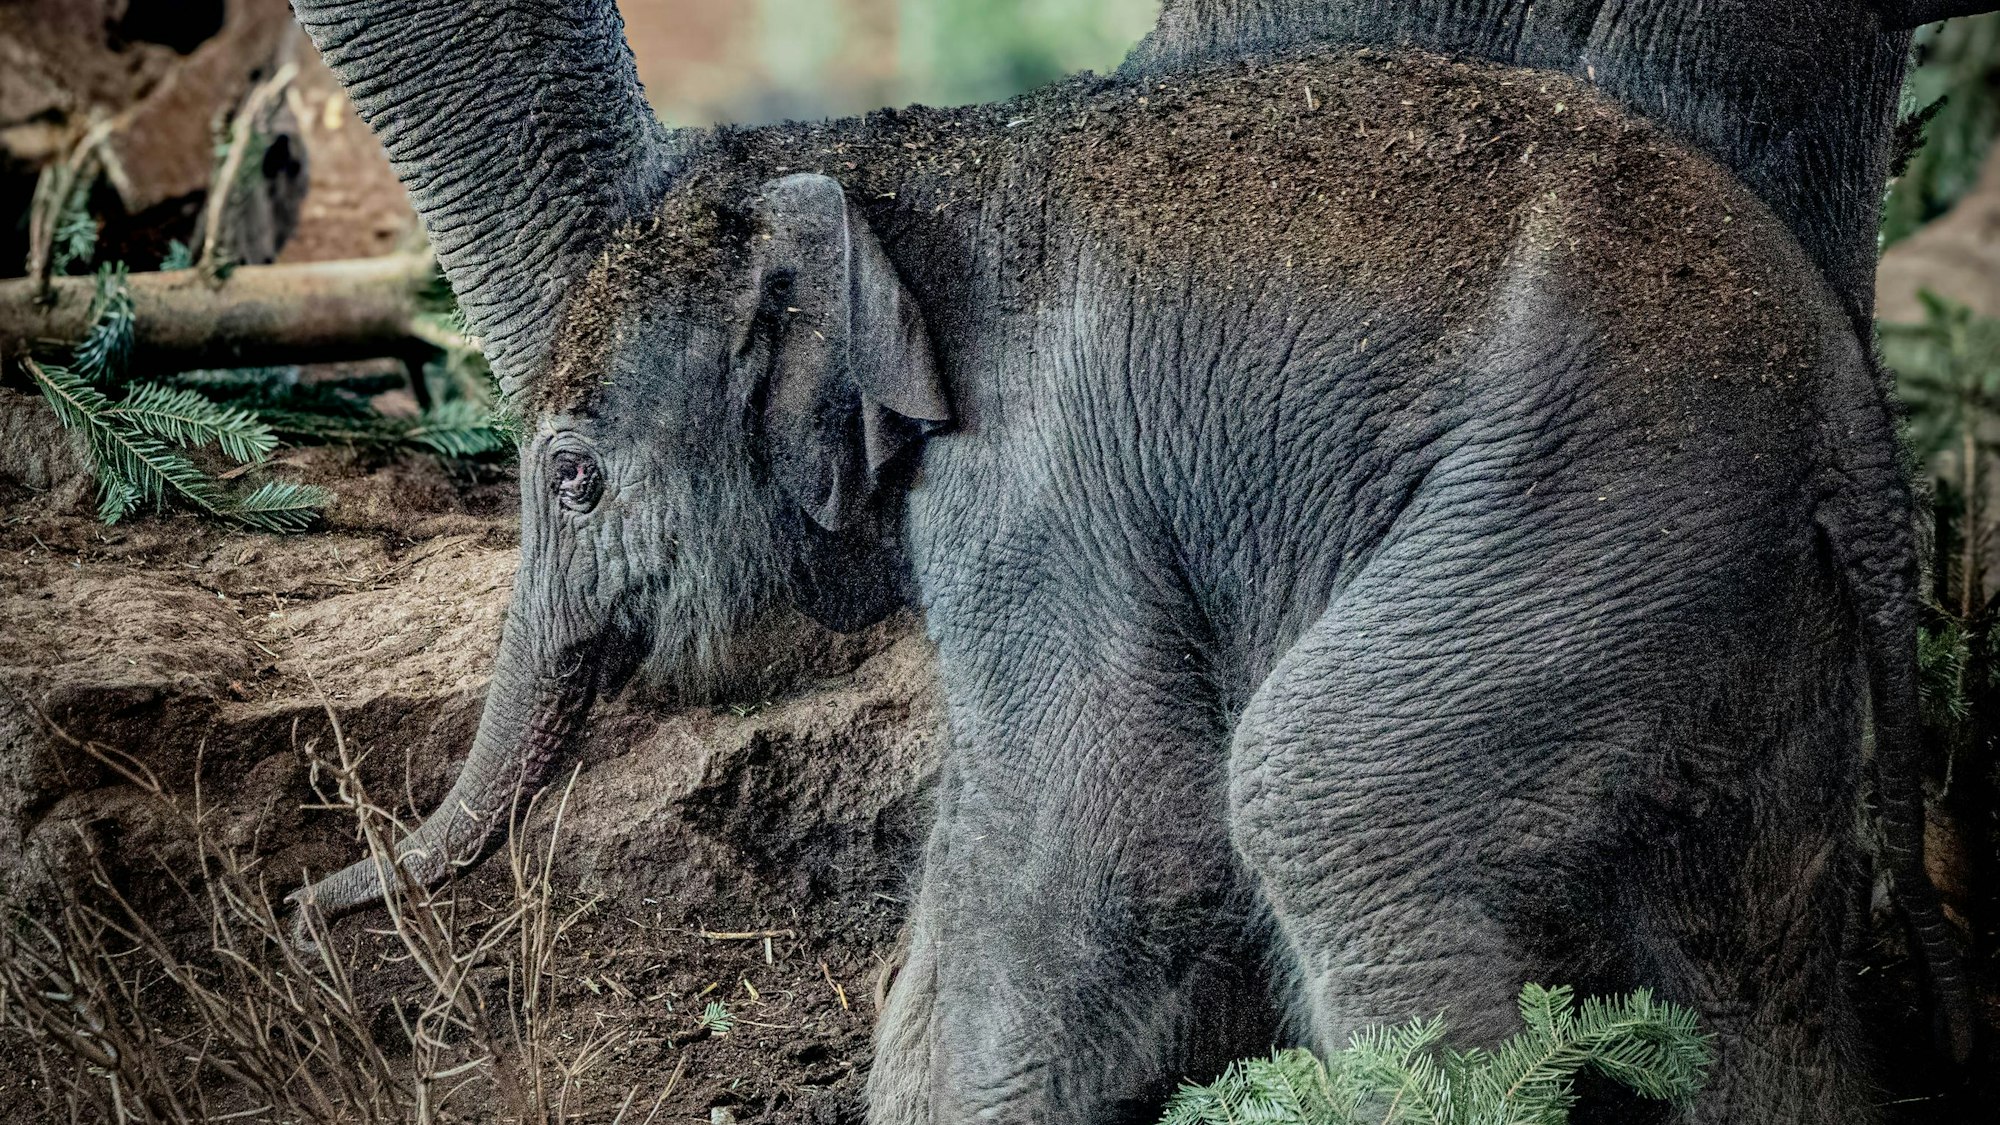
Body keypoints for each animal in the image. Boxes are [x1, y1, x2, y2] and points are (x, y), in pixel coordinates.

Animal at [283, 2, 1994, 1121]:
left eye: (572, 477)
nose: (310, 905)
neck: (903, 167)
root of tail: (1854, 403)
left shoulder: (1037, 489)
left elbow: (1102, 833)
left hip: (1592, 525)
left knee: (1324, 798)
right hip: (1730, 608)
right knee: (1751, 961)